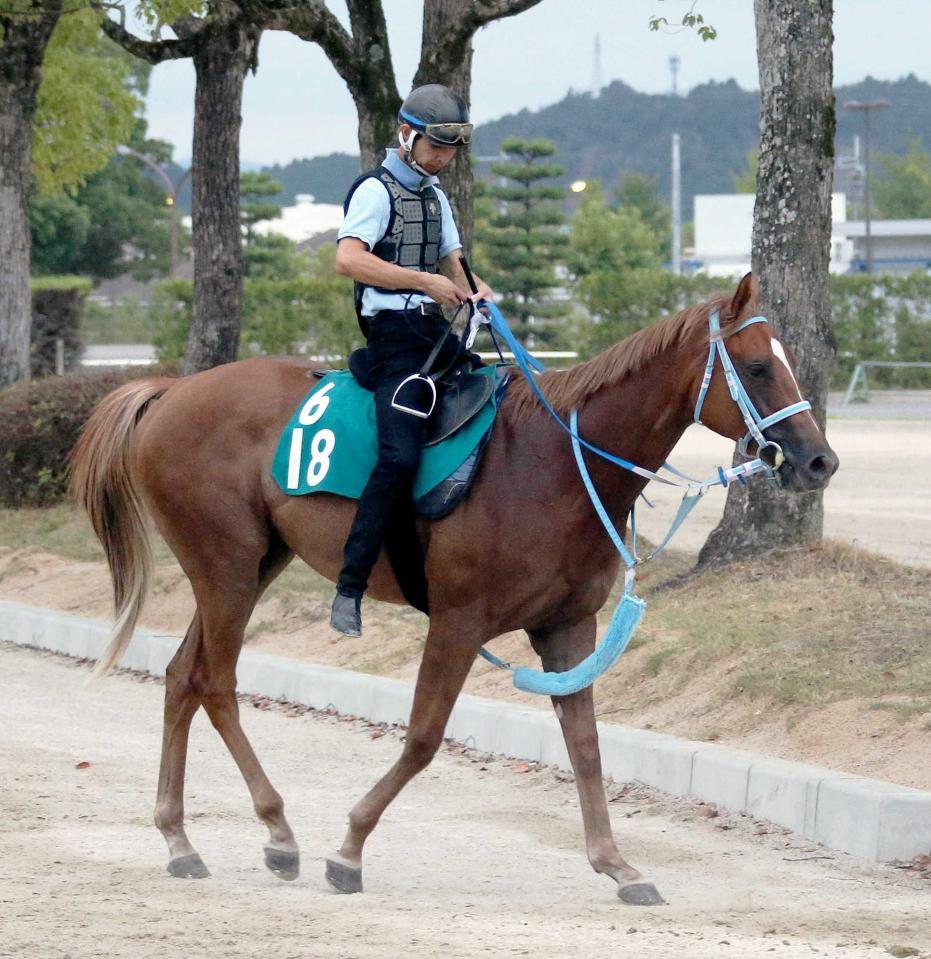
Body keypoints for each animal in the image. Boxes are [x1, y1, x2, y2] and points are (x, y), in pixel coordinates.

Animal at [73, 274, 840, 904]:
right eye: (757, 366)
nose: (818, 460)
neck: (554, 462)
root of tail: (172, 392)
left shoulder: (568, 627)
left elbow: (586, 745)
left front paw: (616, 863)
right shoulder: (458, 622)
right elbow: (422, 737)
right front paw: (349, 848)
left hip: (254, 563)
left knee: (182, 677)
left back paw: (179, 838)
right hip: (227, 569)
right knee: (216, 683)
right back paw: (278, 830)